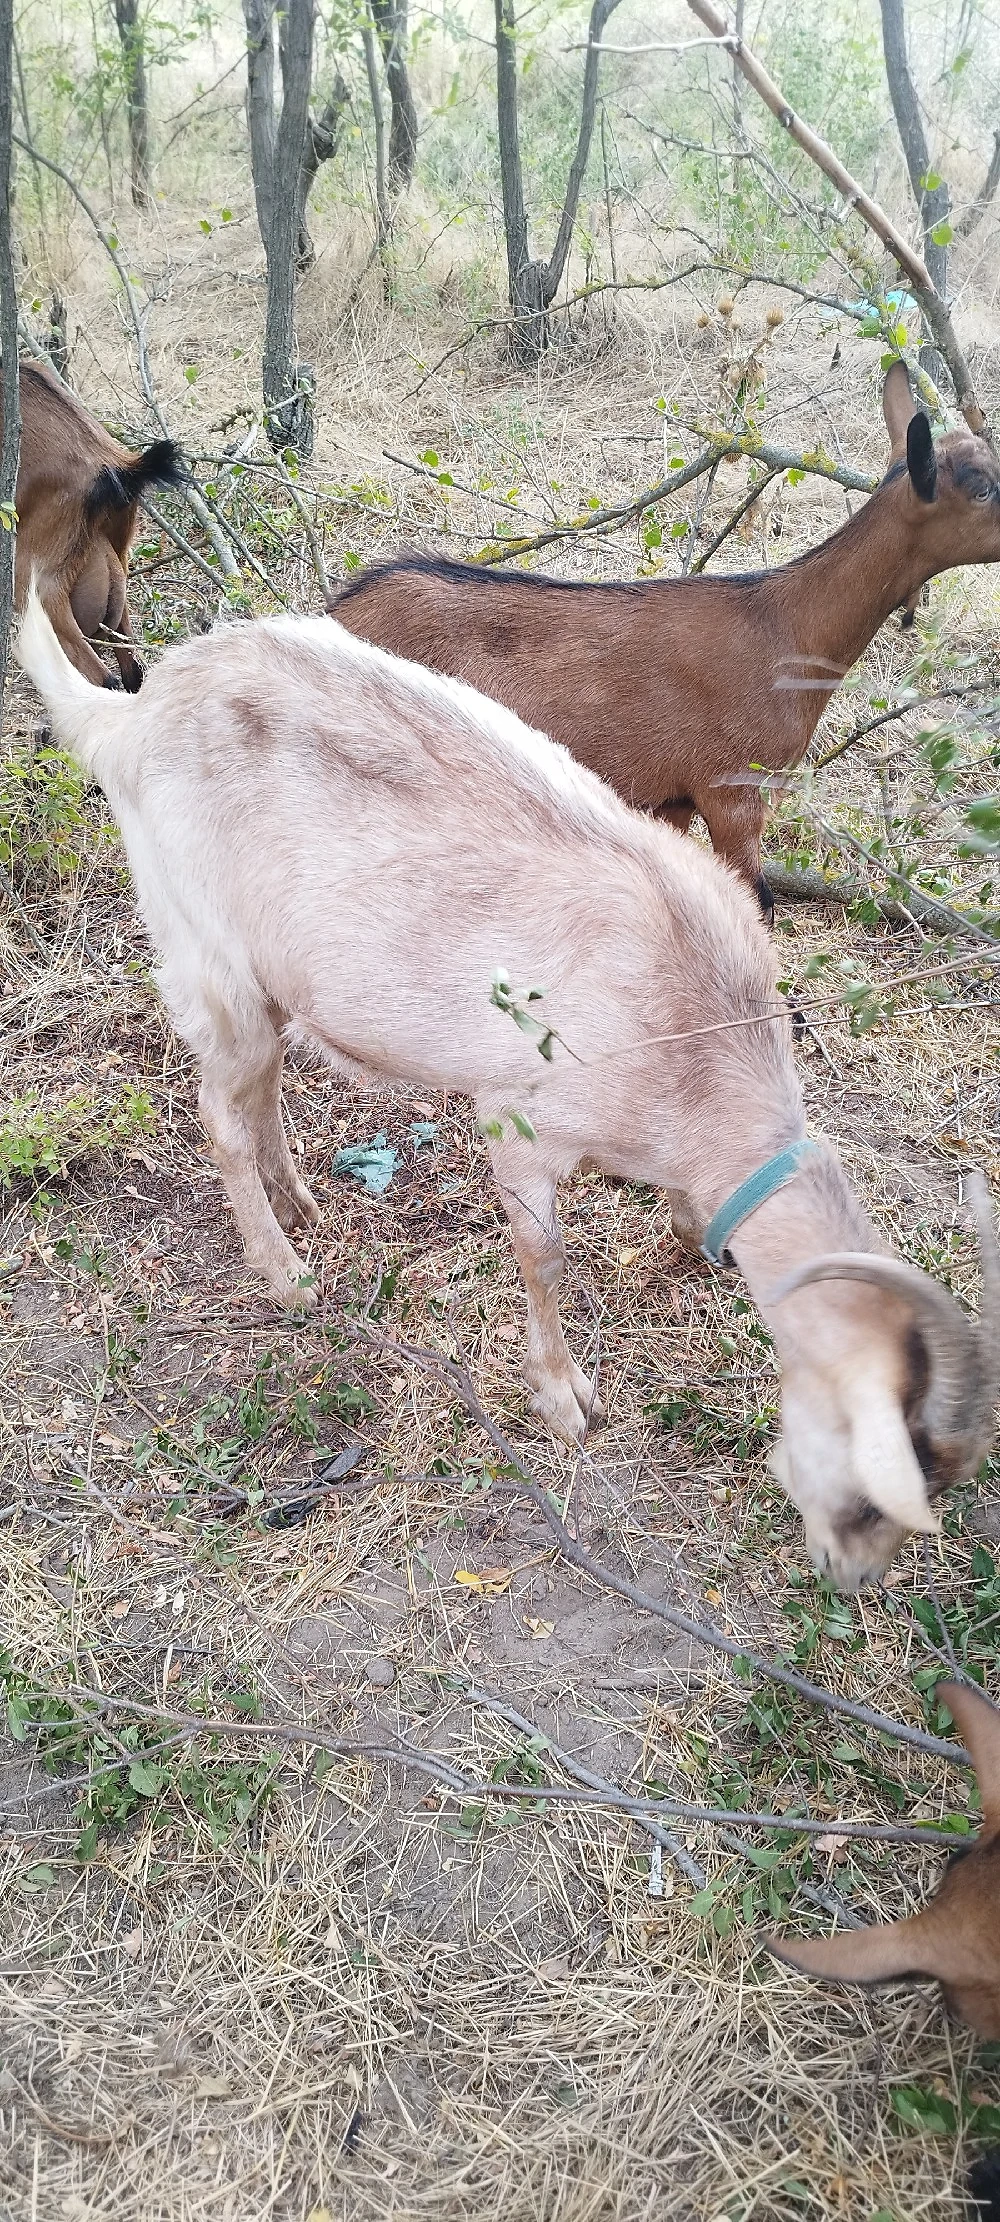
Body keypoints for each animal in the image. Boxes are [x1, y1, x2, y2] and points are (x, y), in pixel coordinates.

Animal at [14, 590, 1000, 1593]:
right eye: (881, 1482)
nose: (851, 1578)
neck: (699, 1028)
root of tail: (132, 717)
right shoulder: (521, 1116)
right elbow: (543, 1254)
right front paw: (564, 1400)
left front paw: (683, 1244)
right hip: (203, 949)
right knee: (219, 1109)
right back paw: (284, 1272)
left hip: (270, 976)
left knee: (262, 1087)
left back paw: (298, 1203)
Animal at [327, 364, 1000, 920]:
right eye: (983, 486)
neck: (783, 628)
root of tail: (334, 612)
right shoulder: (733, 791)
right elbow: (756, 903)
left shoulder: (673, 799)